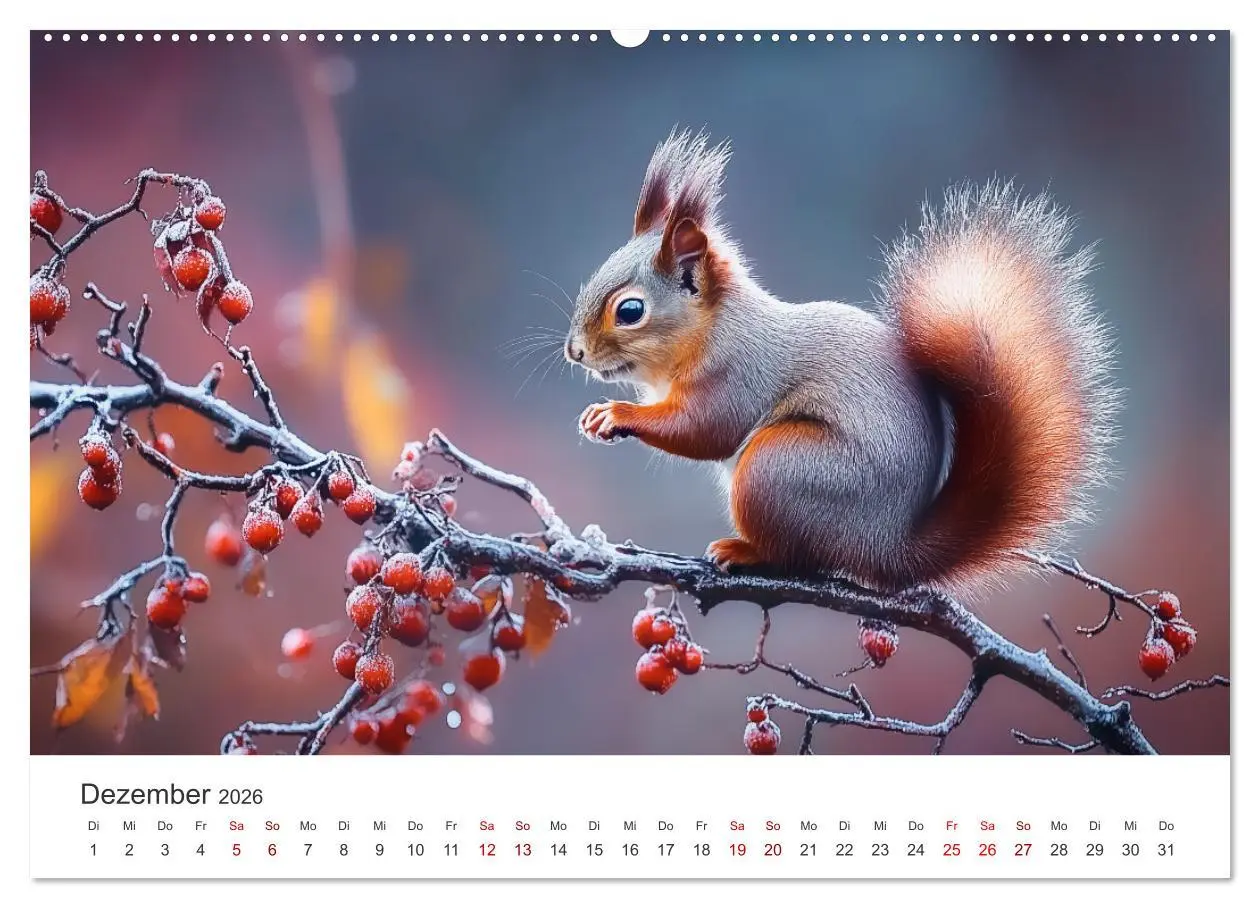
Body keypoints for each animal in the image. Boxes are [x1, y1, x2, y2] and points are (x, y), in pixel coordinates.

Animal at [565, 131, 1117, 593]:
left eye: (630, 311)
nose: (575, 351)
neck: (709, 329)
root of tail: (886, 548)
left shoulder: (739, 370)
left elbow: (707, 429)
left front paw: (619, 414)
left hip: (780, 469)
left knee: (798, 556)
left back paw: (744, 551)